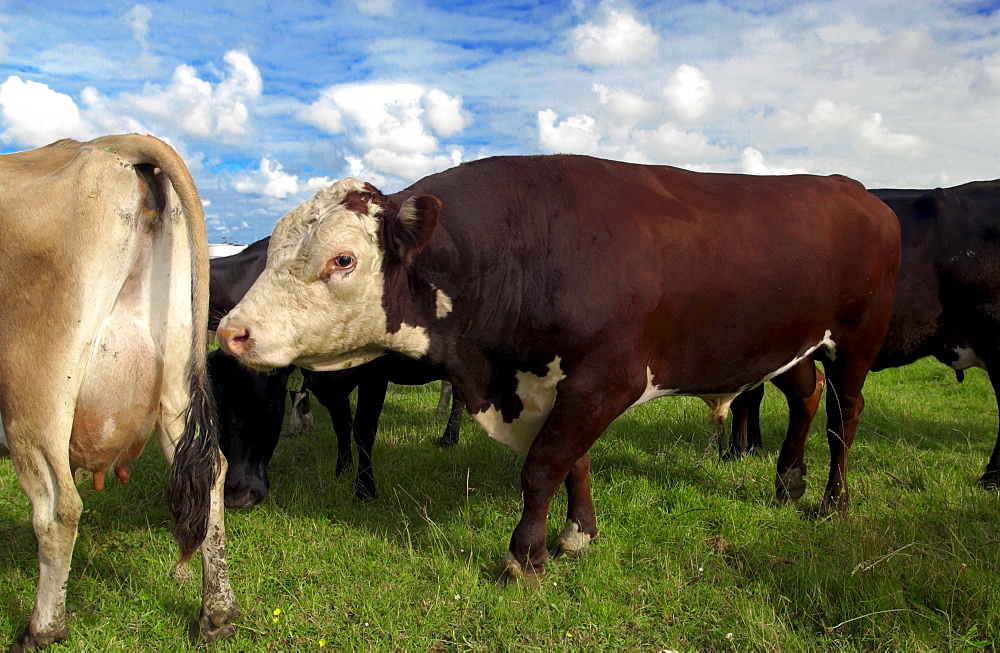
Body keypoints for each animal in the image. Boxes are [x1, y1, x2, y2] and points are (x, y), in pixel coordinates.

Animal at [0, 134, 238, 648]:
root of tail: (99, 146)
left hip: (33, 396)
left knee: (58, 509)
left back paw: (42, 629)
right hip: (176, 375)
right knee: (210, 475)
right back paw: (216, 616)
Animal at [217, 154, 900, 576]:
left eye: (342, 259)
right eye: (272, 251)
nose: (231, 331)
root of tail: (851, 188)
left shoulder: (605, 379)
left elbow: (544, 464)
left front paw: (525, 558)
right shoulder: (557, 387)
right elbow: (574, 462)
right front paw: (578, 534)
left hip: (857, 343)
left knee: (844, 416)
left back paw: (832, 501)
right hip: (788, 346)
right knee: (806, 397)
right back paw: (788, 483)